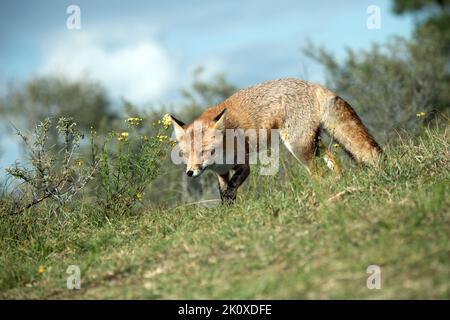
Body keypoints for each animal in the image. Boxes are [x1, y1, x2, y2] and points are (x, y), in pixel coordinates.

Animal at [169, 78, 380, 202]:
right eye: (185, 154)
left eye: (205, 151)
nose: (190, 172)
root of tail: (313, 85)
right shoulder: (221, 173)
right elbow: (225, 193)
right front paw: (228, 211)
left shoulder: (244, 166)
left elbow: (231, 189)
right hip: (313, 144)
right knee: (335, 161)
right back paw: (337, 182)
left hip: (297, 147)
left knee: (318, 173)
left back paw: (318, 192)